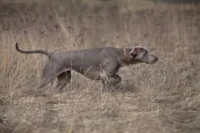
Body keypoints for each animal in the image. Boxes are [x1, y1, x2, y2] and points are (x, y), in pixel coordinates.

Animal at [15, 43, 158, 91]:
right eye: (146, 52)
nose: (156, 58)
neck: (119, 54)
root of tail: (52, 54)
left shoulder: (110, 74)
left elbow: (118, 79)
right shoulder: (104, 75)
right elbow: (109, 84)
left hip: (64, 78)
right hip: (47, 76)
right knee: (36, 87)